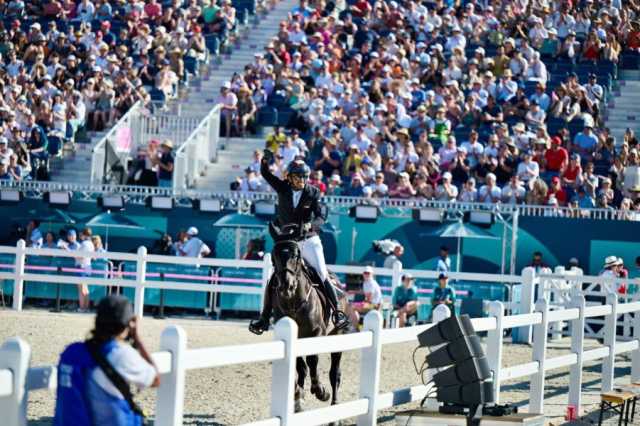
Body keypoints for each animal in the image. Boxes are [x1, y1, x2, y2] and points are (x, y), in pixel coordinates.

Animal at [270, 223, 350, 416]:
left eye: (296, 255)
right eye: (274, 254)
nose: (287, 286)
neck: (293, 302)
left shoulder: (316, 333)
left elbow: (313, 361)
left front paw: (320, 390)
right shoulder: (296, 336)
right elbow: (301, 366)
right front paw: (299, 396)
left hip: (337, 335)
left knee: (335, 373)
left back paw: (334, 405)